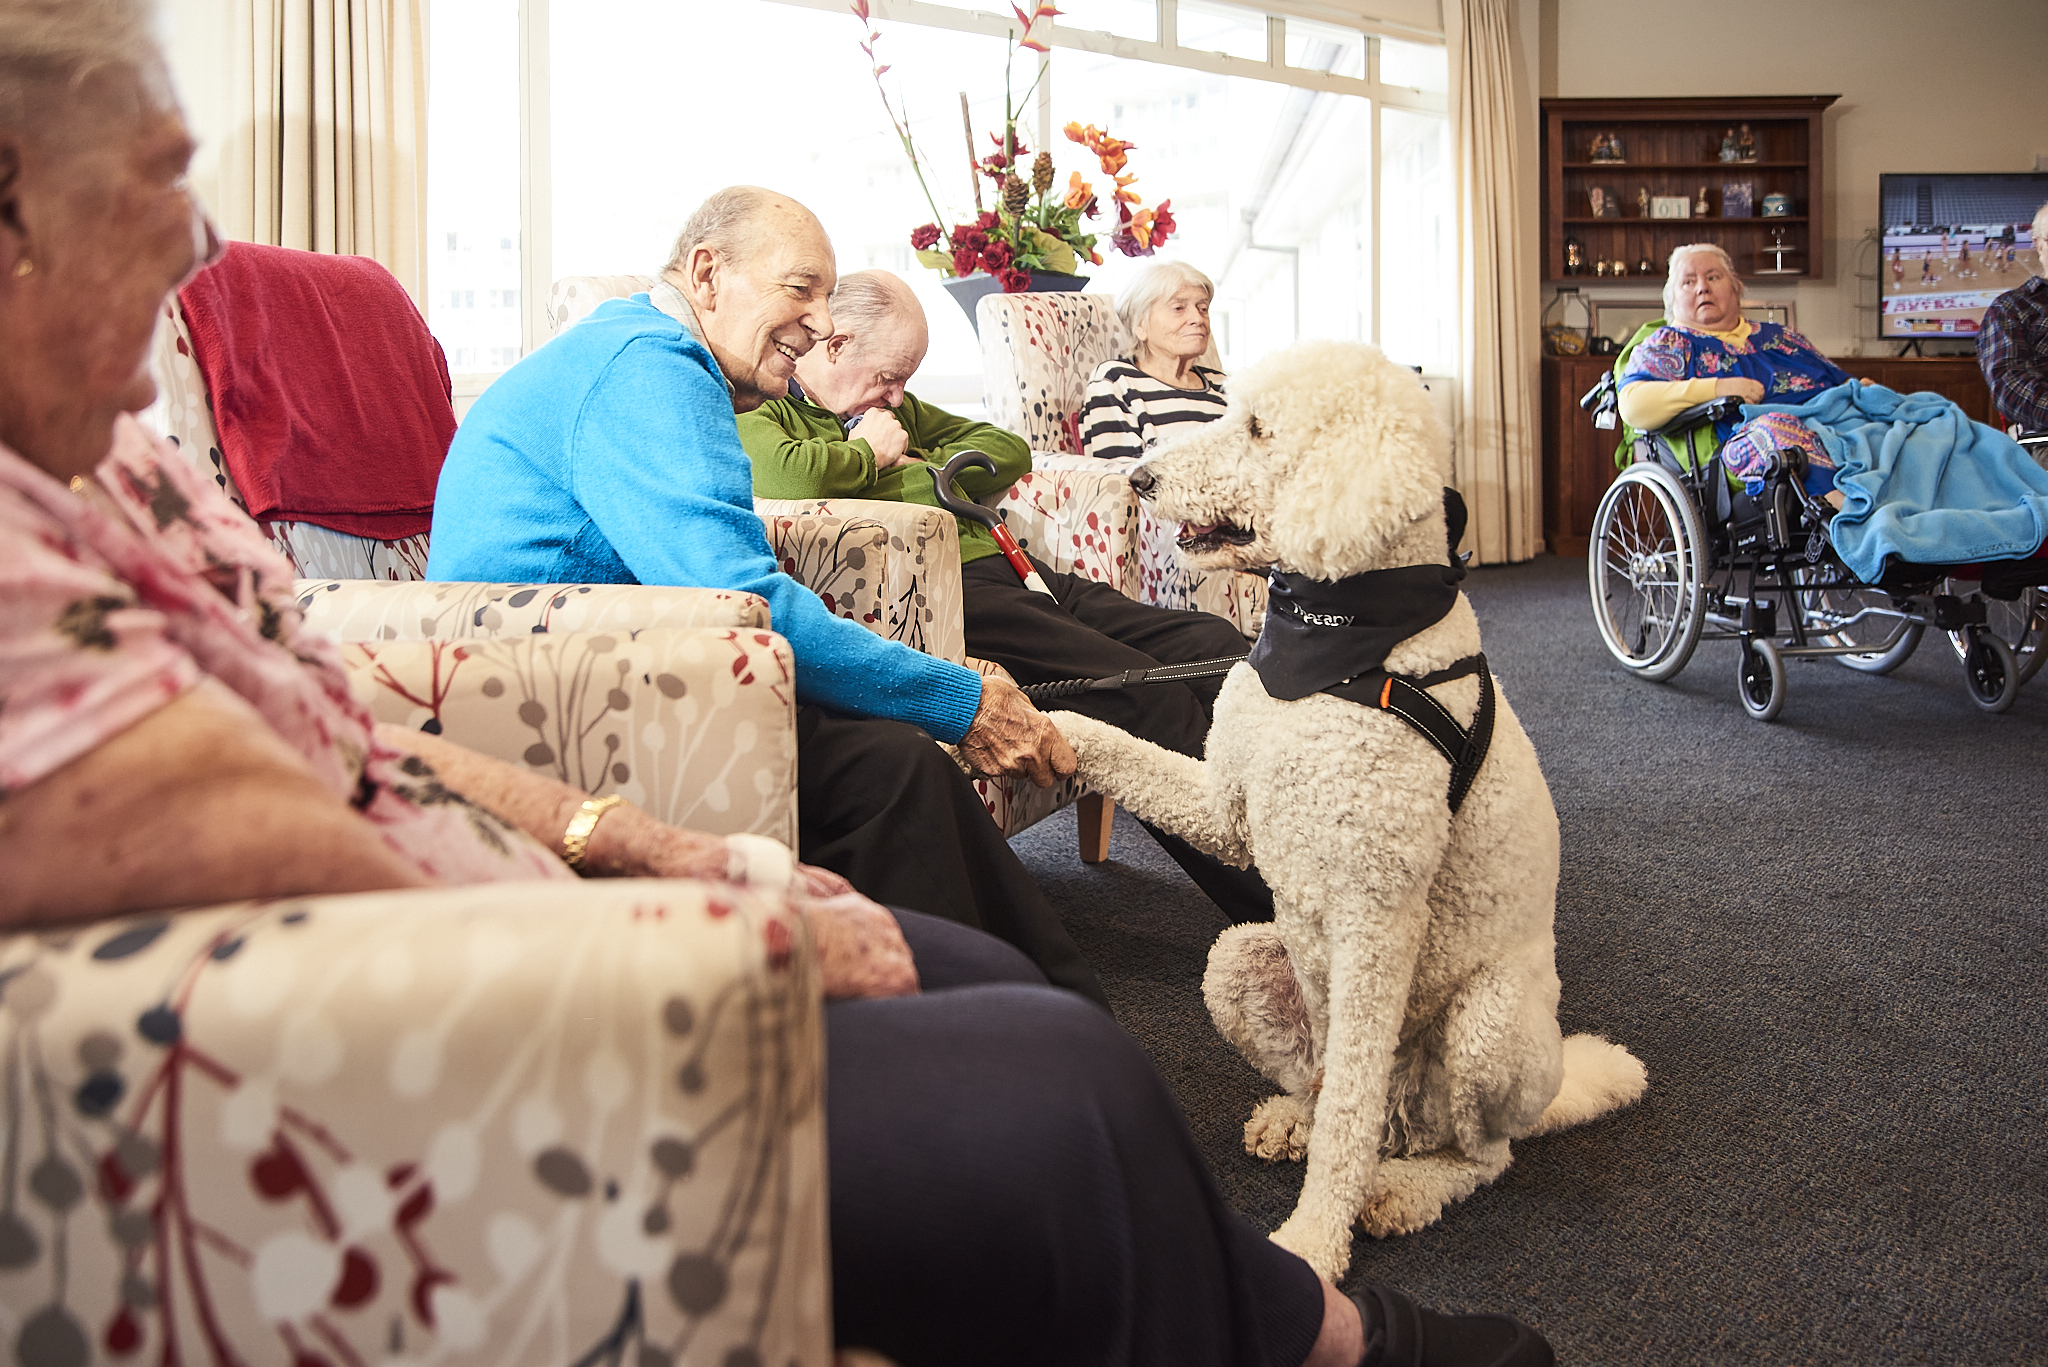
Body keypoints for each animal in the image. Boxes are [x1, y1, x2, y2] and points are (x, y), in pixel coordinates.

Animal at [1056, 342, 1646, 1287]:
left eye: (1259, 429)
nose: (1141, 480)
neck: (1336, 646)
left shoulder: (1377, 915)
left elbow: (1350, 1124)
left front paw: (1312, 1240)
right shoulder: (1228, 807)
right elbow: (1123, 749)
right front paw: (1026, 720)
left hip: (1490, 1024)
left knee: (1474, 1152)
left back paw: (1402, 1186)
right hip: (1241, 959)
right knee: (1331, 1085)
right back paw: (1295, 1117)